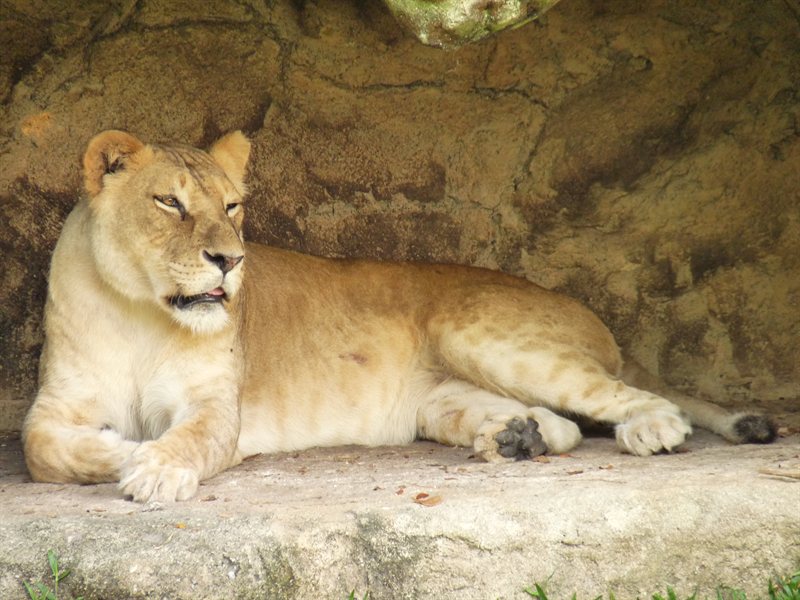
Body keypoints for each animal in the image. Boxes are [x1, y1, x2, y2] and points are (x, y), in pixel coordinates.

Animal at [22, 130, 776, 502]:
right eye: (169, 203)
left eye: (232, 206)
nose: (229, 260)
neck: (139, 312)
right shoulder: (56, 404)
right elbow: (42, 449)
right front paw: (126, 450)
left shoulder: (216, 405)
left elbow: (191, 439)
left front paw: (152, 466)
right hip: (439, 397)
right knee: (562, 427)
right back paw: (517, 438)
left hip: (480, 334)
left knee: (638, 399)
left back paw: (650, 430)